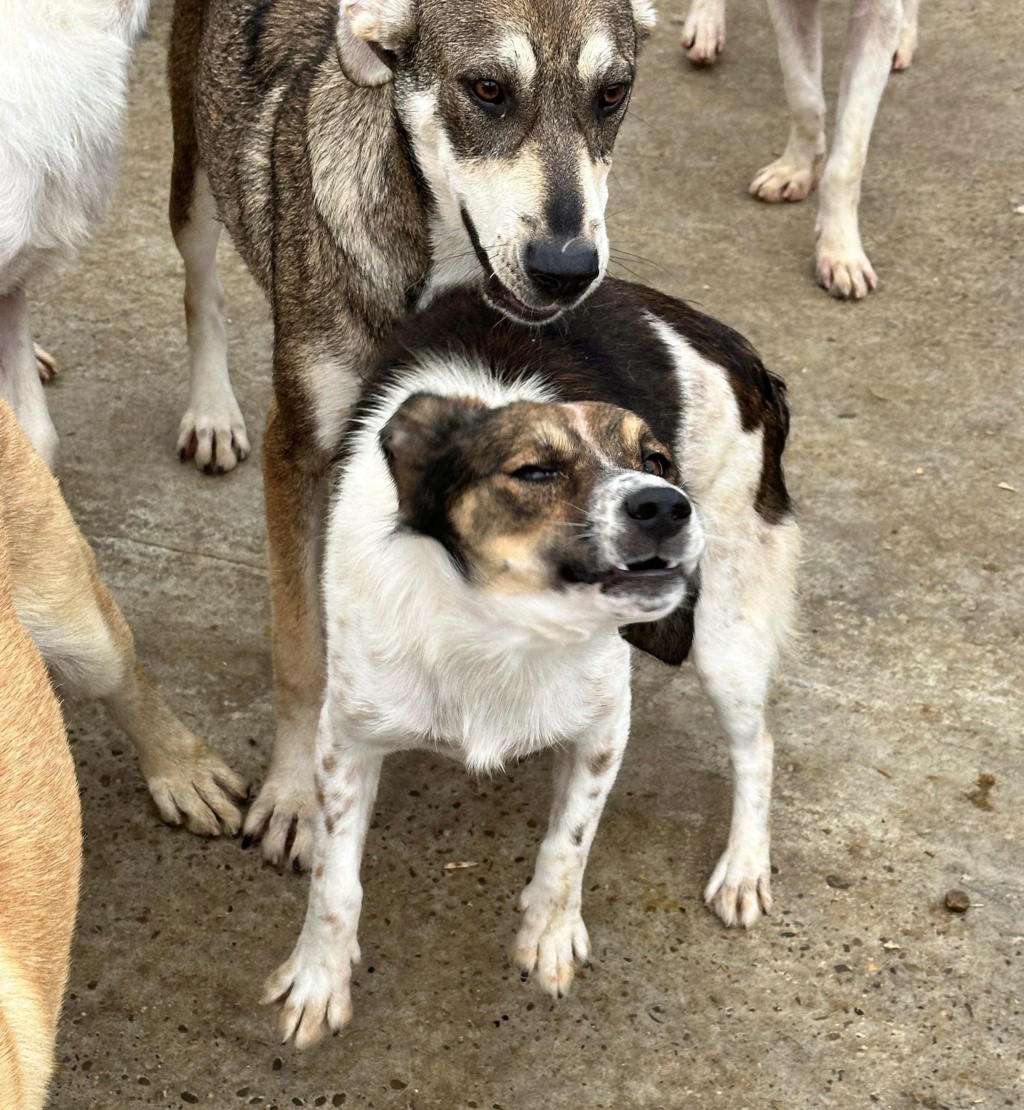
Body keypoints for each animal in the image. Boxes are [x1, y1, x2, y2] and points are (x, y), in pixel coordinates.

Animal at [166, 0, 656, 865]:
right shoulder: (300, 451)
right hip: (193, 177)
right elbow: (301, 649)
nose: (568, 268)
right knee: (201, 284)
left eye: (612, 94)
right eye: (487, 89)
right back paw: (211, 409)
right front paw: (295, 796)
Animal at [261, 277, 798, 1047]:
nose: (668, 505)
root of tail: (731, 344)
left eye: (657, 461)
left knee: (758, 747)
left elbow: (569, 844)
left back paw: (745, 868)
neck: (501, 631)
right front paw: (317, 979)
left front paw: (548, 933)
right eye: (535, 471)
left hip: (728, 628)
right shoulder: (347, 740)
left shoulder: (604, 729)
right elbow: (336, 882)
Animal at [678, 0, 923, 299]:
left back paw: (904, 36)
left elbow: (847, 158)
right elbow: (803, 96)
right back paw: (705, 23)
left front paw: (841, 251)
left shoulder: (877, 17)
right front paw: (795, 169)